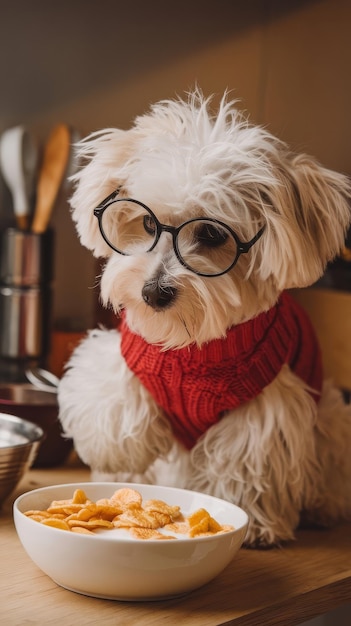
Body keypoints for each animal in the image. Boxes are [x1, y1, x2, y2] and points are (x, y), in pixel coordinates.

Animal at [59, 90, 351, 544]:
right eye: (147, 222)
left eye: (212, 234)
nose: (153, 293)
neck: (191, 347)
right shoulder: (134, 355)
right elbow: (116, 398)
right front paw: (121, 456)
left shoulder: (263, 407)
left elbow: (244, 459)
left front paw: (252, 523)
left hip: (333, 418)